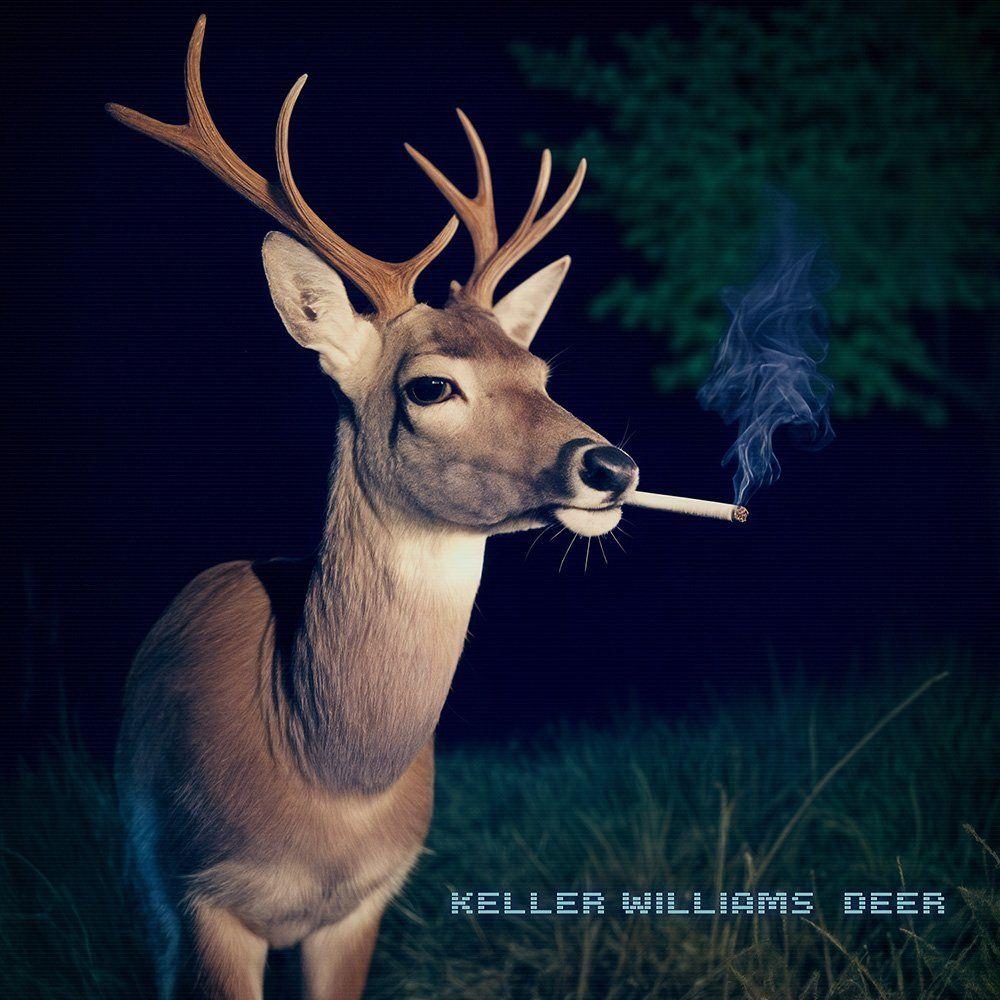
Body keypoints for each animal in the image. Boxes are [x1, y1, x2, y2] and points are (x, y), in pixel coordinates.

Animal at [108, 16, 639, 1000]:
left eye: (541, 371)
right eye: (431, 386)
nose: (611, 464)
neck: (324, 779)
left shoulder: (366, 904)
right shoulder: (200, 895)